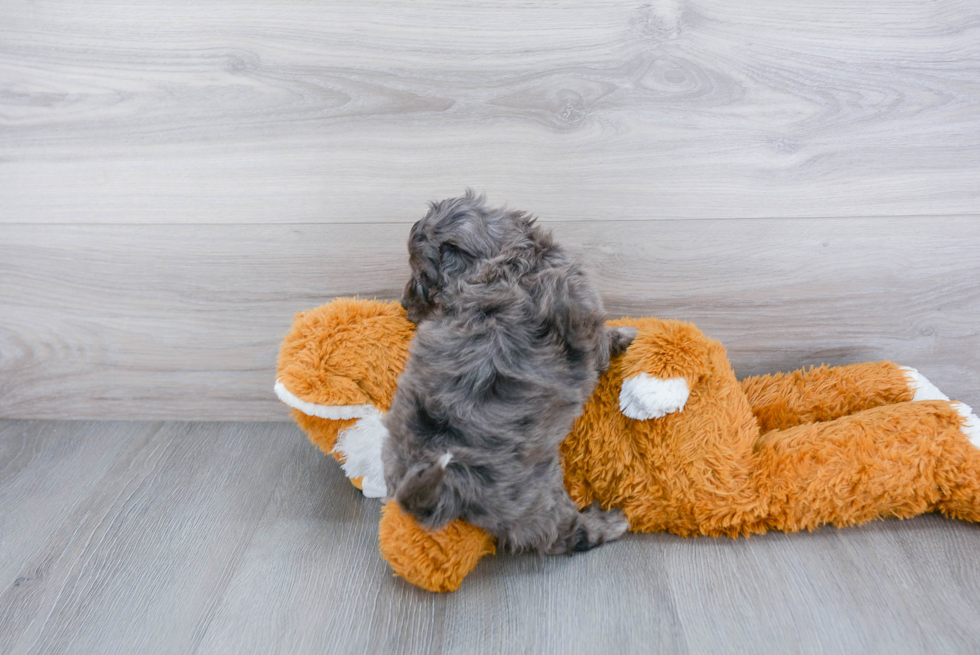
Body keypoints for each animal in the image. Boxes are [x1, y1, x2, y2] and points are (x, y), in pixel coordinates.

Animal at [378, 192, 632, 556]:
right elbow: (602, 344)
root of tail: (445, 489)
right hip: (536, 494)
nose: (401, 303)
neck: (502, 260)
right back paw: (608, 522)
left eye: (422, 277)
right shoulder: (587, 313)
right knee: (563, 535)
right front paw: (622, 336)